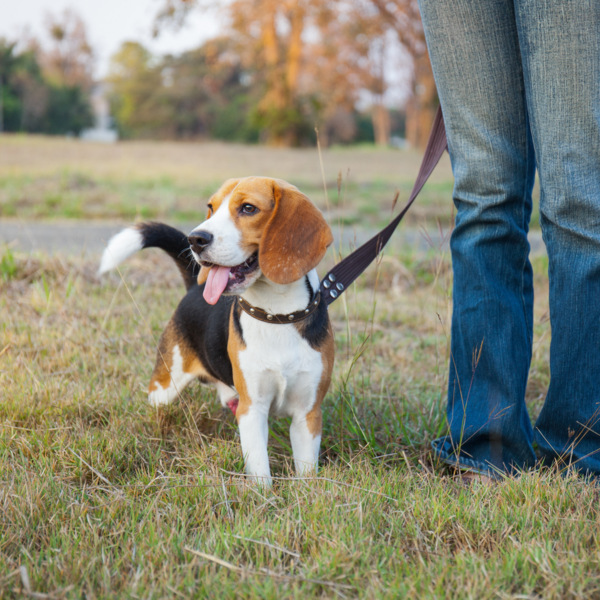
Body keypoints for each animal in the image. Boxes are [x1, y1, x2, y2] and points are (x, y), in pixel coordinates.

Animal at [98, 176, 332, 486]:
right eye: (211, 207)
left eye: (248, 208)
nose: (195, 239)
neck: (276, 315)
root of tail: (194, 287)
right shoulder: (251, 409)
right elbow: (260, 470)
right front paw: (263, 495)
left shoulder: (308, 414)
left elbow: (306, 470)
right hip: (165, 386)